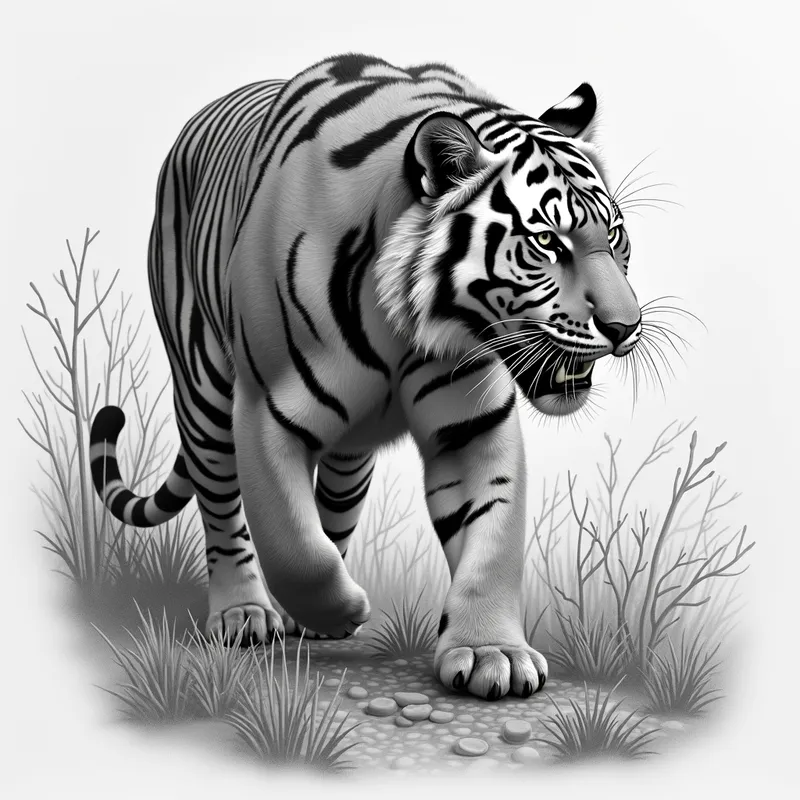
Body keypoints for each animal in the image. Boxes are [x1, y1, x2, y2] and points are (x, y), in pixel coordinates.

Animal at [89, 53, 642, 701]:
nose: (626, 327)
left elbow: (493, 537)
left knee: (333, 511)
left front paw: (492, 653)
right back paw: (243, 613)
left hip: (351, 454)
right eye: (547, 242)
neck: (407, 321)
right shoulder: (264, 410)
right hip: (203, 392)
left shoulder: (473, 425)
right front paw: (343, 608)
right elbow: (290, 541)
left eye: (615, 236)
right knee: (224, 507)